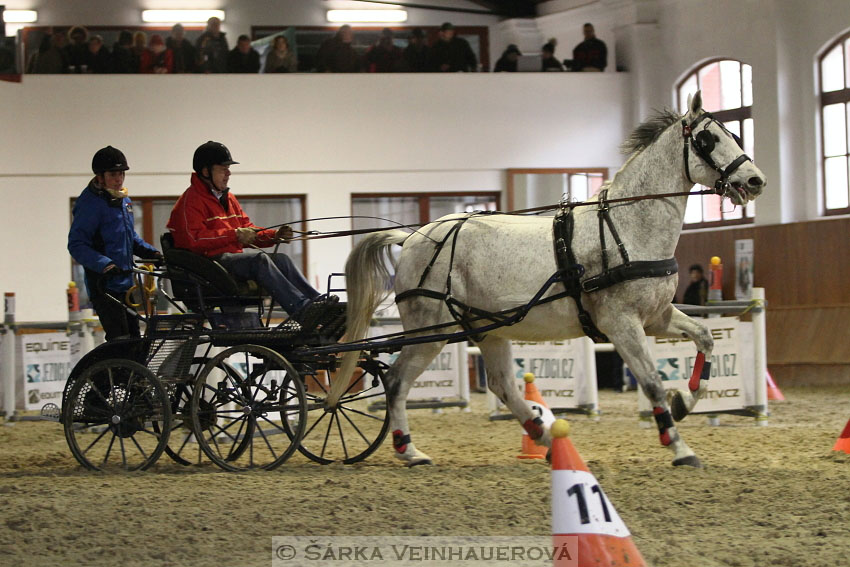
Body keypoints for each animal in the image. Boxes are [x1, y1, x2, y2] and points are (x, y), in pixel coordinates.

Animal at [330, 91, 760, 468]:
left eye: (734, 134)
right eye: (707, 139)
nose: (756, 181)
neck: (626, 226)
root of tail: (414, 237)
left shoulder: (656, 316)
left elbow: (705, 338)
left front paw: (684, 402)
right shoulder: (621, 324)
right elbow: (652, 382)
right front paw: (679, 446)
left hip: (489, 329)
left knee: (503, 386)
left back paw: (545, 439)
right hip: (432, 329)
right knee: (397, 380)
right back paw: (409, 450)